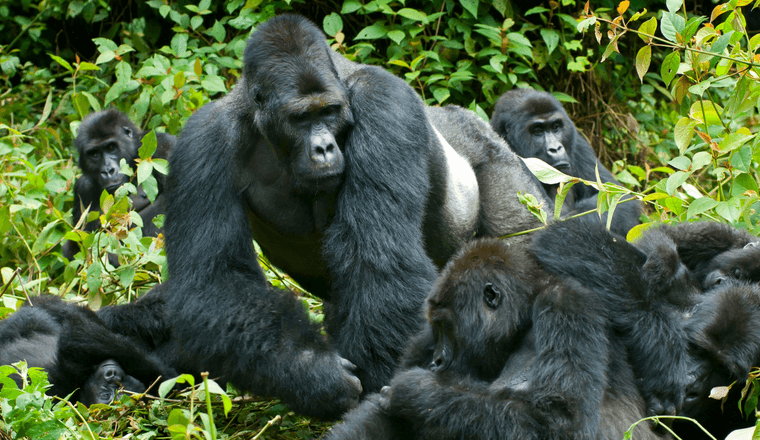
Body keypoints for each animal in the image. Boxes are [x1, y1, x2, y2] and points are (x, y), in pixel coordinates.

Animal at [63, 108, 174, 262]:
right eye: (94, 154)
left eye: (111, 147)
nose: (108, 171)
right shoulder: (82, 188)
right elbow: (81, 242)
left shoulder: (165, 147)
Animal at [163, 12, 548, 420]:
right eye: (300, 117)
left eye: (328, 112)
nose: (323, 148)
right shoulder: (201, 142)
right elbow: (214, 280)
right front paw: (313, 372)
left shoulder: (383, 100)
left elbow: (377, 259)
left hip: (498, 157)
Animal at [330, 220, 760, 440]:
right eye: (437, 330)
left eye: (449, 330)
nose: (436, 361)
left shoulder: (566, 305)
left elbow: (560, 422)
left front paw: (417, 391)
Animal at [490, 87, 644, 235]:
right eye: (537, 131)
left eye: (555, 127)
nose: (556, 148)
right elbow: (544, 222)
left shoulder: (578, 144)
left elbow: (617, 197)